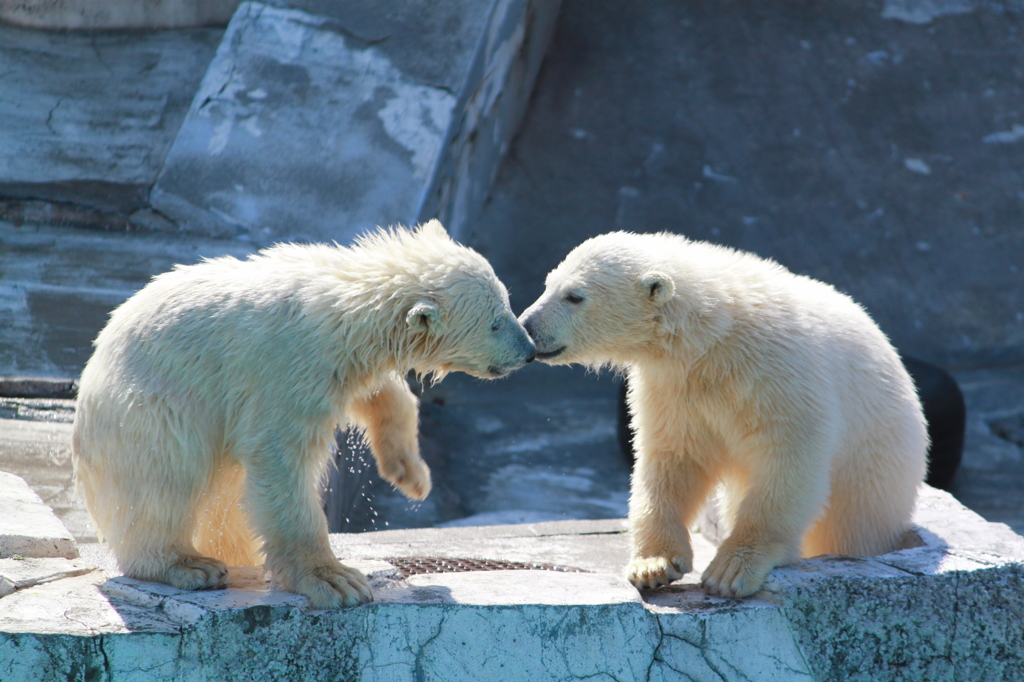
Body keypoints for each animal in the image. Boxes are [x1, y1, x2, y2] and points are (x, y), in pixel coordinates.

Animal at [72, 219, 536, 606]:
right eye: (496, 322)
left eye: (508, 302)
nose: (530, 350)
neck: (345, 309)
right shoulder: (288, 365)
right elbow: (281, 461)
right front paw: (335, 580)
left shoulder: (341, 366)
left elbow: (383, 395)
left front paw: (411, 475)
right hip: (150, 409)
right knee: (165, 477)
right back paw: (188, 563)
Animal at [520, 229, 929, 593]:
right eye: (548, 284)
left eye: (574, 296)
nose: (527, 326)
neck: (712, 338)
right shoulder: (673, 386)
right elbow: (673, 458)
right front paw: (653, 565)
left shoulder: (777, 373)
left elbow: (788, 459)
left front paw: (732, 569)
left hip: (876, 458)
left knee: (855, 524)